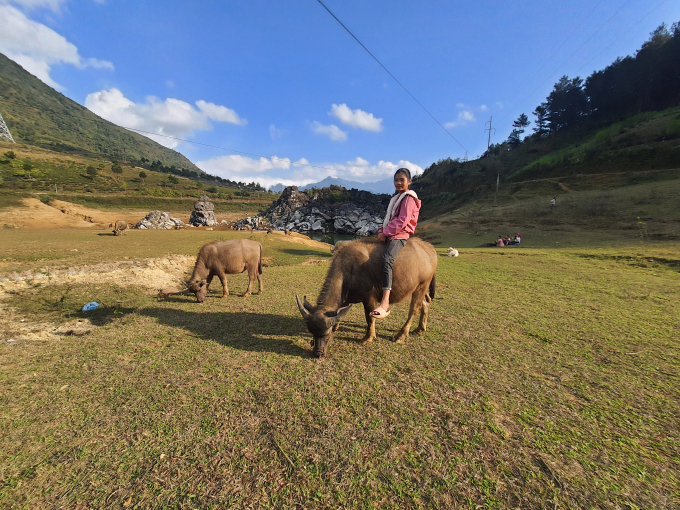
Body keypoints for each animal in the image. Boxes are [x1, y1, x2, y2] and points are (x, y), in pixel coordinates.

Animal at [294, 237, 438, 356]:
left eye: (326, 334)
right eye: (312, 333)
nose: (318, 353)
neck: (349, 270)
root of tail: (429, 248)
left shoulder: (369, 298)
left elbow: (369, 318)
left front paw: (369, 337)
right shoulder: (345, 299)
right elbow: (340, 312)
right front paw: (336, 326)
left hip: (421, 286)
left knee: (414, 310)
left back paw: (401, 336)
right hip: (420, 288)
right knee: (426, 302)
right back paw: (420, 329)